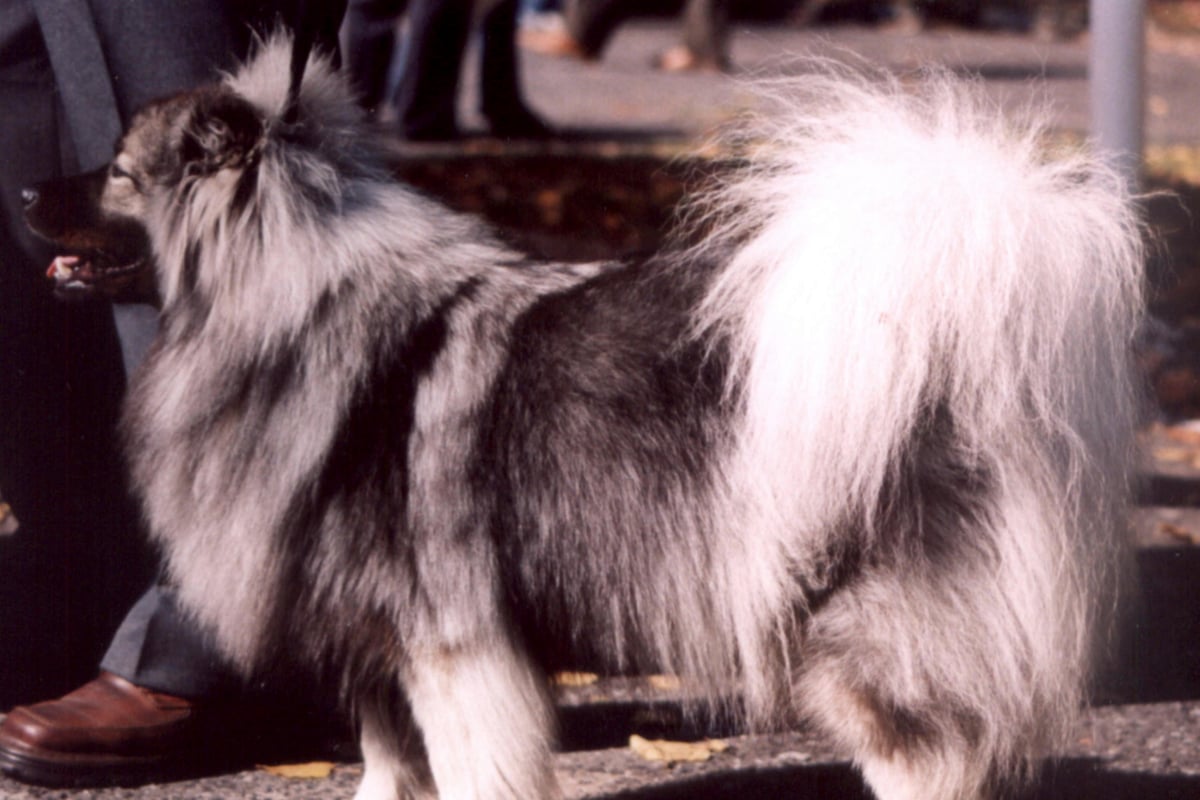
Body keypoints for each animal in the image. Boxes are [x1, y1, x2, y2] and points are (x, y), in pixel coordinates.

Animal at [23, 34, 1144, 800]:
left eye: (118, 171)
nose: (28, 191)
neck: (287, 307)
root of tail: (948, 341)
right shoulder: (375, 641)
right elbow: (390, 767)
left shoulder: (449, 642)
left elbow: (468, 766)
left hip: (866, 645)